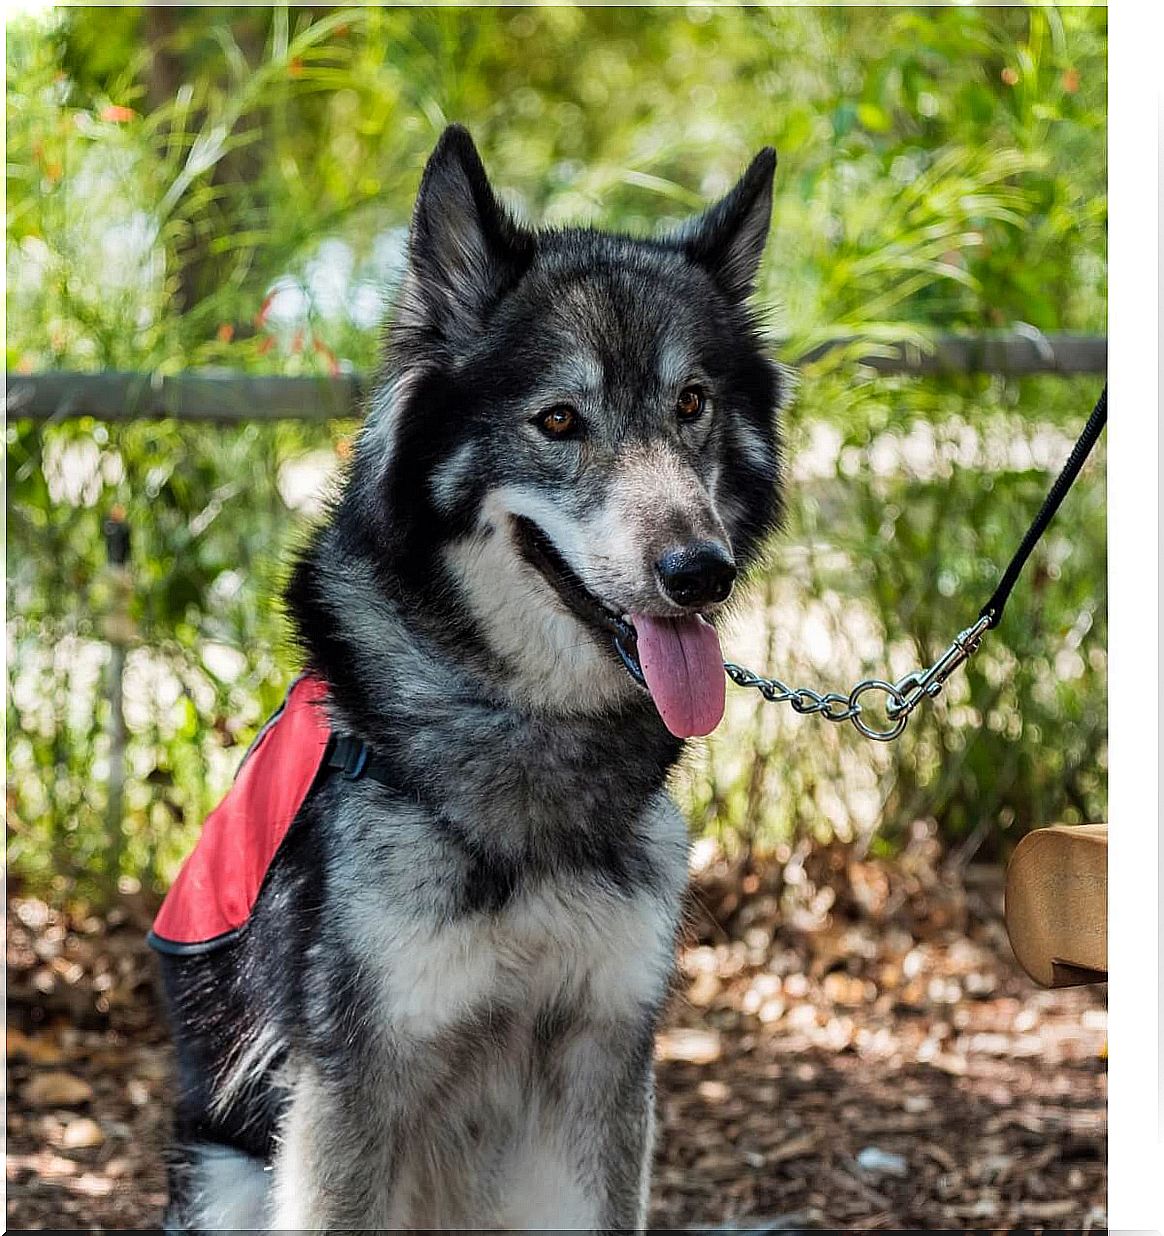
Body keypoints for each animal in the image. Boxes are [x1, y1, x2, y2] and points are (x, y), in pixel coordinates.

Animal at [152, 122, 785, 1226]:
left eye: (692, 404)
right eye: (560, 421)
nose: (702, 572)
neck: (528, 732)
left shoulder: (607, 1062)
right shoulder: (352, 1089)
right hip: (232, 1175)